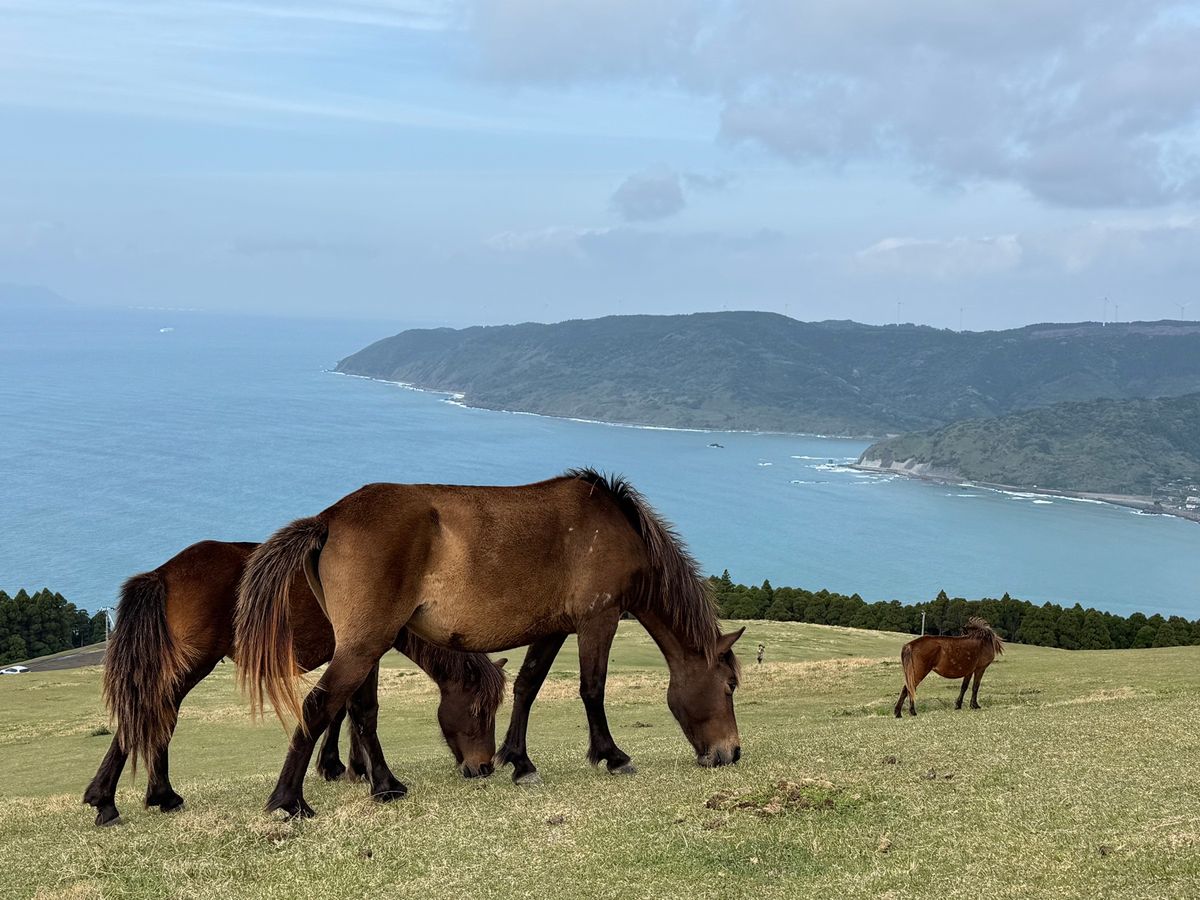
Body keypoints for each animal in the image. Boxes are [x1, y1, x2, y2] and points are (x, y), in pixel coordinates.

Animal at [83, 540, 506, 826]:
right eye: (479, 710)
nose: (484, 767)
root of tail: (163, 573)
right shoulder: (365, 654)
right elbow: (362, 712)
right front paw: (382, 783)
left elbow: (341, 713)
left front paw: (346, 767)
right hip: (192, 665)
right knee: (155, 715)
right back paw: (119, 799)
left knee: (156, 719)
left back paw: (151, 797)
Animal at [236, 468, 744, 818]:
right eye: (729, 687)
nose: (732, 753)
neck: (617, 527)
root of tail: (328, 519)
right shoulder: (597, 620)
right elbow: (592, 688)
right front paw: (612, 756)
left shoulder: (553, 628)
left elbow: (527, 686)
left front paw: (519, 761)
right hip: (364, 645)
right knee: (318, 707)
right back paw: (288, 801)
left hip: (367, 646)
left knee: (359, 710)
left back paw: (385, 786)